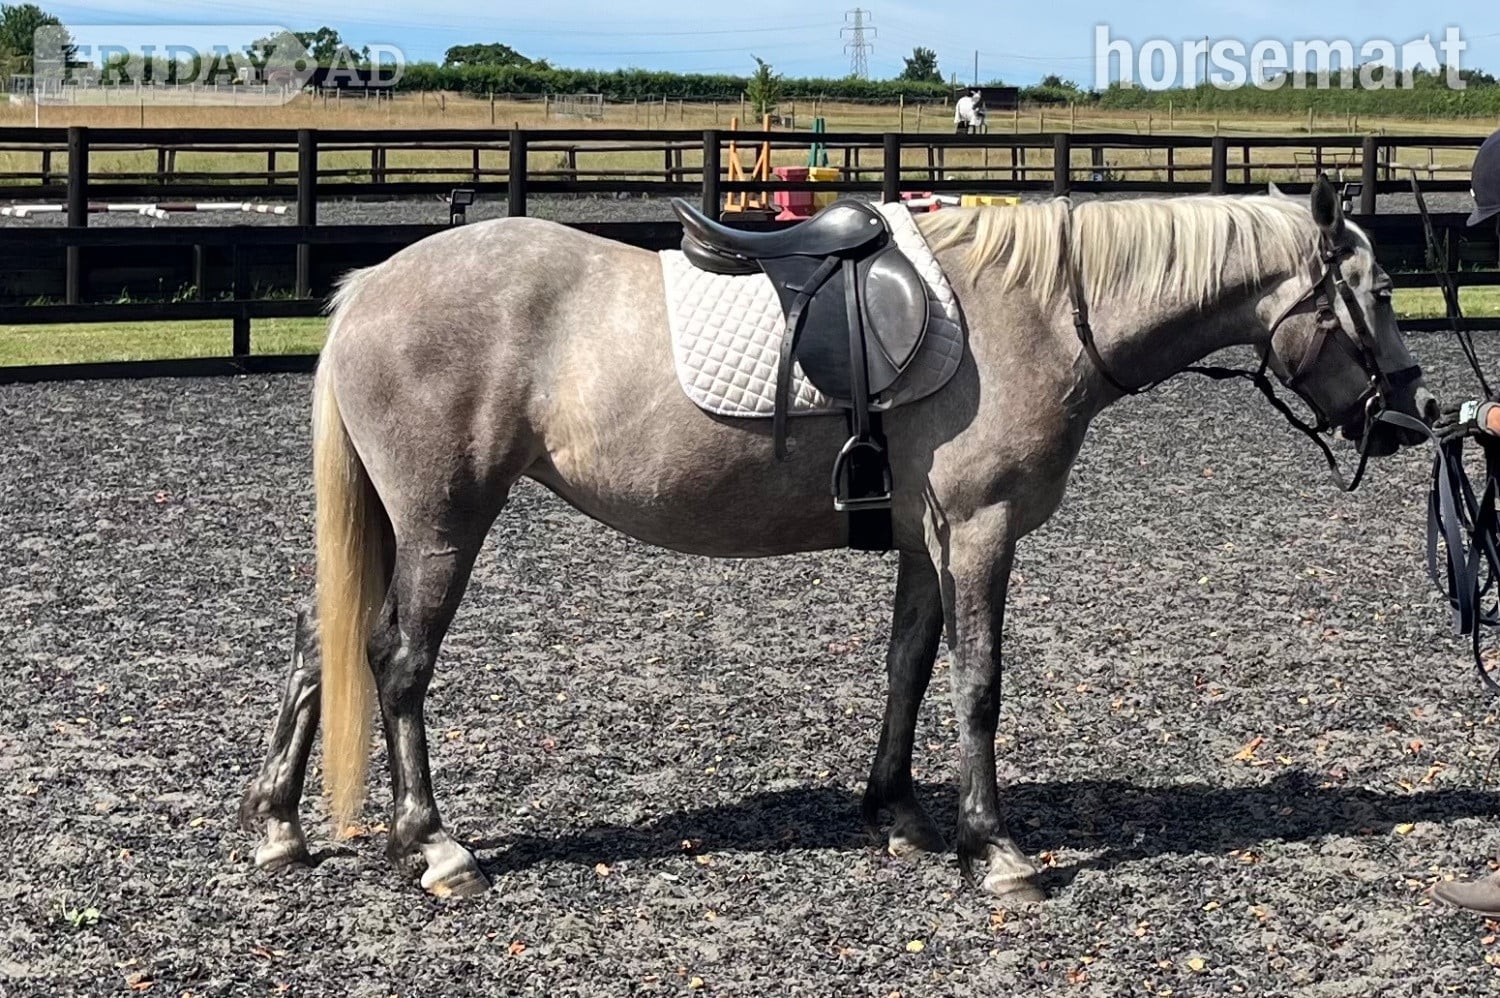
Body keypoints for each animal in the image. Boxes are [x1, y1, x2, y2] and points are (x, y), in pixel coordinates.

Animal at [238, 176, 1436, 903]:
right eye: (1377, 291)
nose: (1410, 415)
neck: (1038, 309)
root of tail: (369, 287)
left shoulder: (924, 536)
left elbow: (909, 664)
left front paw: (897, 810)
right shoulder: (981, 528)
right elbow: (979, 681)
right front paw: (995, 847)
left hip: (391, 520)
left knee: (319, 641)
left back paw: (279, 824)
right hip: (443, 518)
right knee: (398, 662)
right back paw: (433, 842)